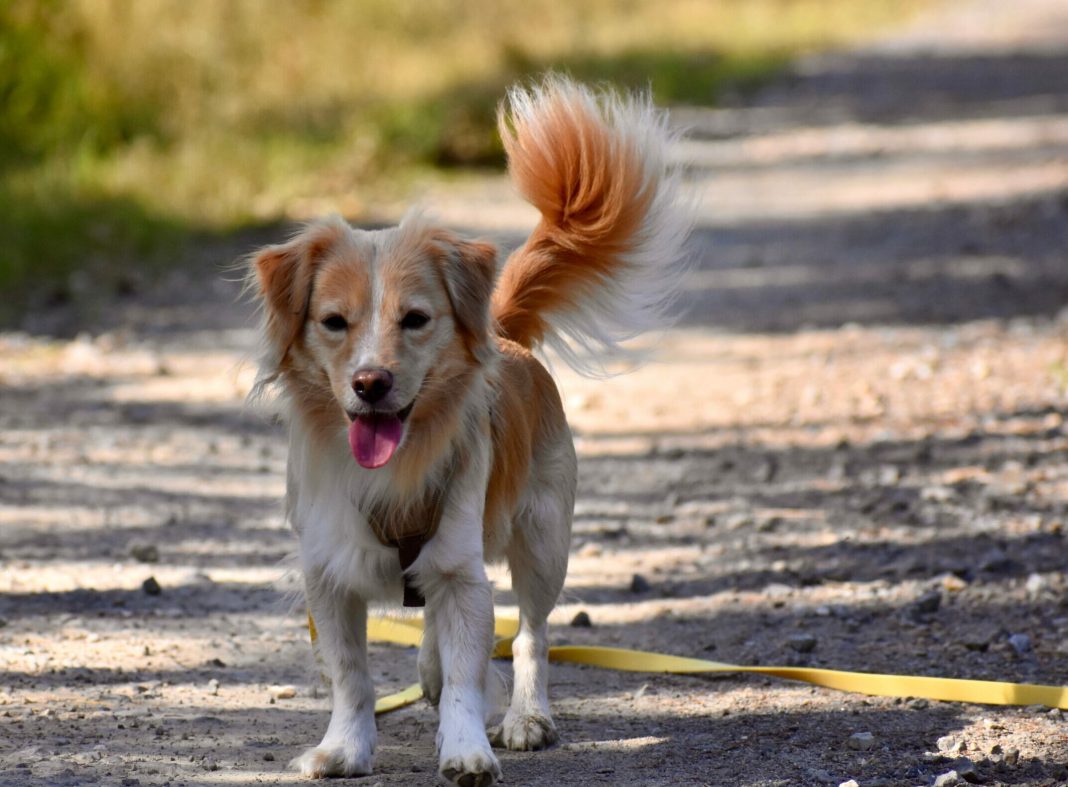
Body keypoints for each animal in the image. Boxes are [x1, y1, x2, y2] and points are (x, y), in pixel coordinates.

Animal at [245, 75, 687, 785]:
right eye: (334, 323)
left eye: (416, 319)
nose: (371, 383)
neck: (394, 472)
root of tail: (503, 333)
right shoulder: (329, 574)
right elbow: (351, 676)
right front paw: (345, 747)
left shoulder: (462, 567)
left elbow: (467, 675)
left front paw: (467, 748)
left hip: (543, 538)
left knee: (532, 634)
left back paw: (527, 716)